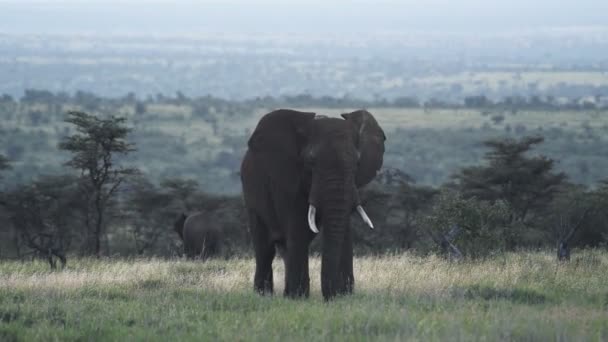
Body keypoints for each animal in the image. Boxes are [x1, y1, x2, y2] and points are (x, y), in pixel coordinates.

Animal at [239, 109, 384, 300]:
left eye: (357, 163)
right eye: (311, 162)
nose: (331, 297)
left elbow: (344, 231)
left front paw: (344, 296)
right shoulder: (287, 182)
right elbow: (297, 231)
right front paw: (298, 298)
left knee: (285, 249)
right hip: (251, 195)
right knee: (265, 248)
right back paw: (265, 296)